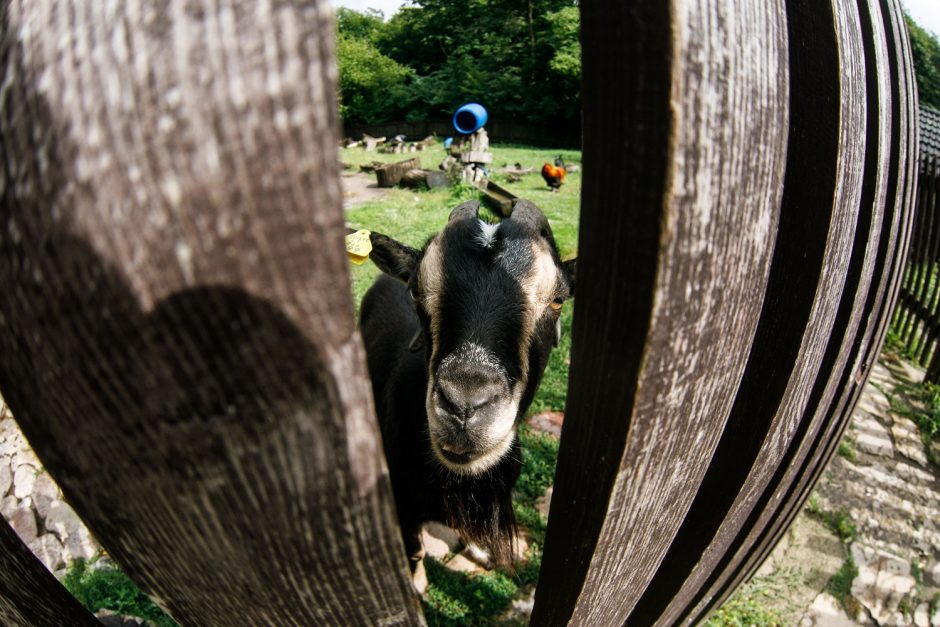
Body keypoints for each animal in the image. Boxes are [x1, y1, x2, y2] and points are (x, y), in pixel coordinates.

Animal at [356, 200, 572, 580]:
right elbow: (413, 552)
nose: (464, 407)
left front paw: (481, 553)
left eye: (559, 299)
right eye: (415, 290)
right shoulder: (402, 508)